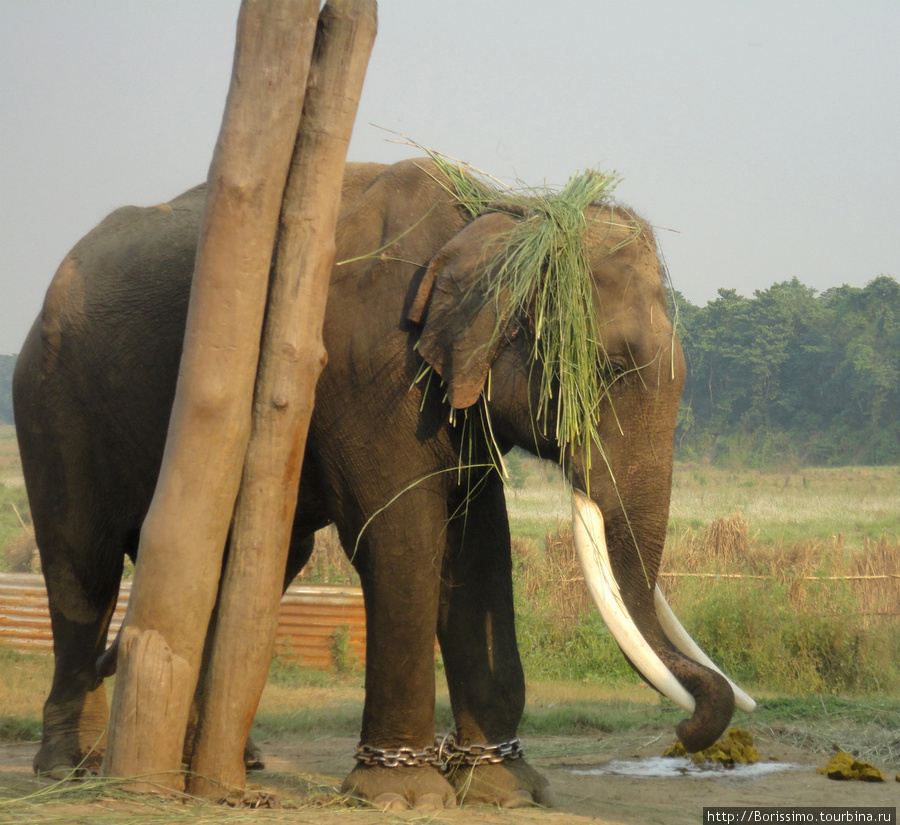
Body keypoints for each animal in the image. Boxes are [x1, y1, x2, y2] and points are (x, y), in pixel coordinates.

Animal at [12, 158, 752, 808]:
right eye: (609, 368)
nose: (684, 732)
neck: (493, 215)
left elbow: (477, 548)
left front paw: (506, 791)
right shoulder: (368, 367)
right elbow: (404, 536)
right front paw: (405, 795)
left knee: (258, 563)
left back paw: (227, 760)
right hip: (52, 399)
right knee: (83, 568)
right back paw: (72, 769)